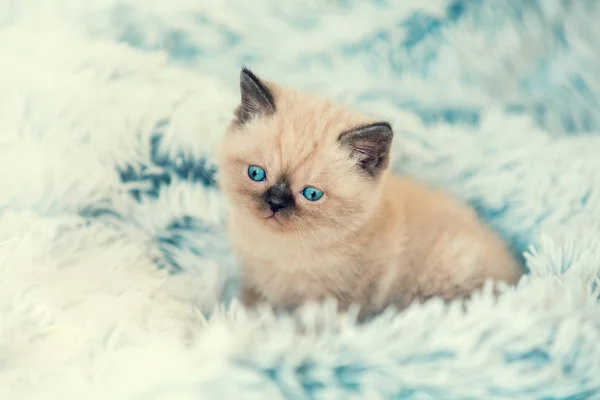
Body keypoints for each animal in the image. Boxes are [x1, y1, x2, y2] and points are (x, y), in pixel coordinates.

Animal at [217, 68, 520, 318]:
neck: (278, 248)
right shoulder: (253, 279)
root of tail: (516, 270)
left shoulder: (330, 301)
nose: (275, 203)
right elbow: (248, 304)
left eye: (312, 194)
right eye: (257, 174)